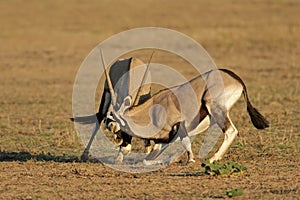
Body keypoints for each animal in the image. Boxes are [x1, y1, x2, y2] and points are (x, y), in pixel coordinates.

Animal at [103, 57, 270, 163]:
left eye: (120, 127)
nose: (122, 147)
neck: (153, 111)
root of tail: (235, 78)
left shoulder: (179, 127)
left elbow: (185, 145)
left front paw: (189, 160)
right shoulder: (162, 141)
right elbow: (147, 160)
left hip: (213, 106)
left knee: (231, 131)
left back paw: (213, 158)